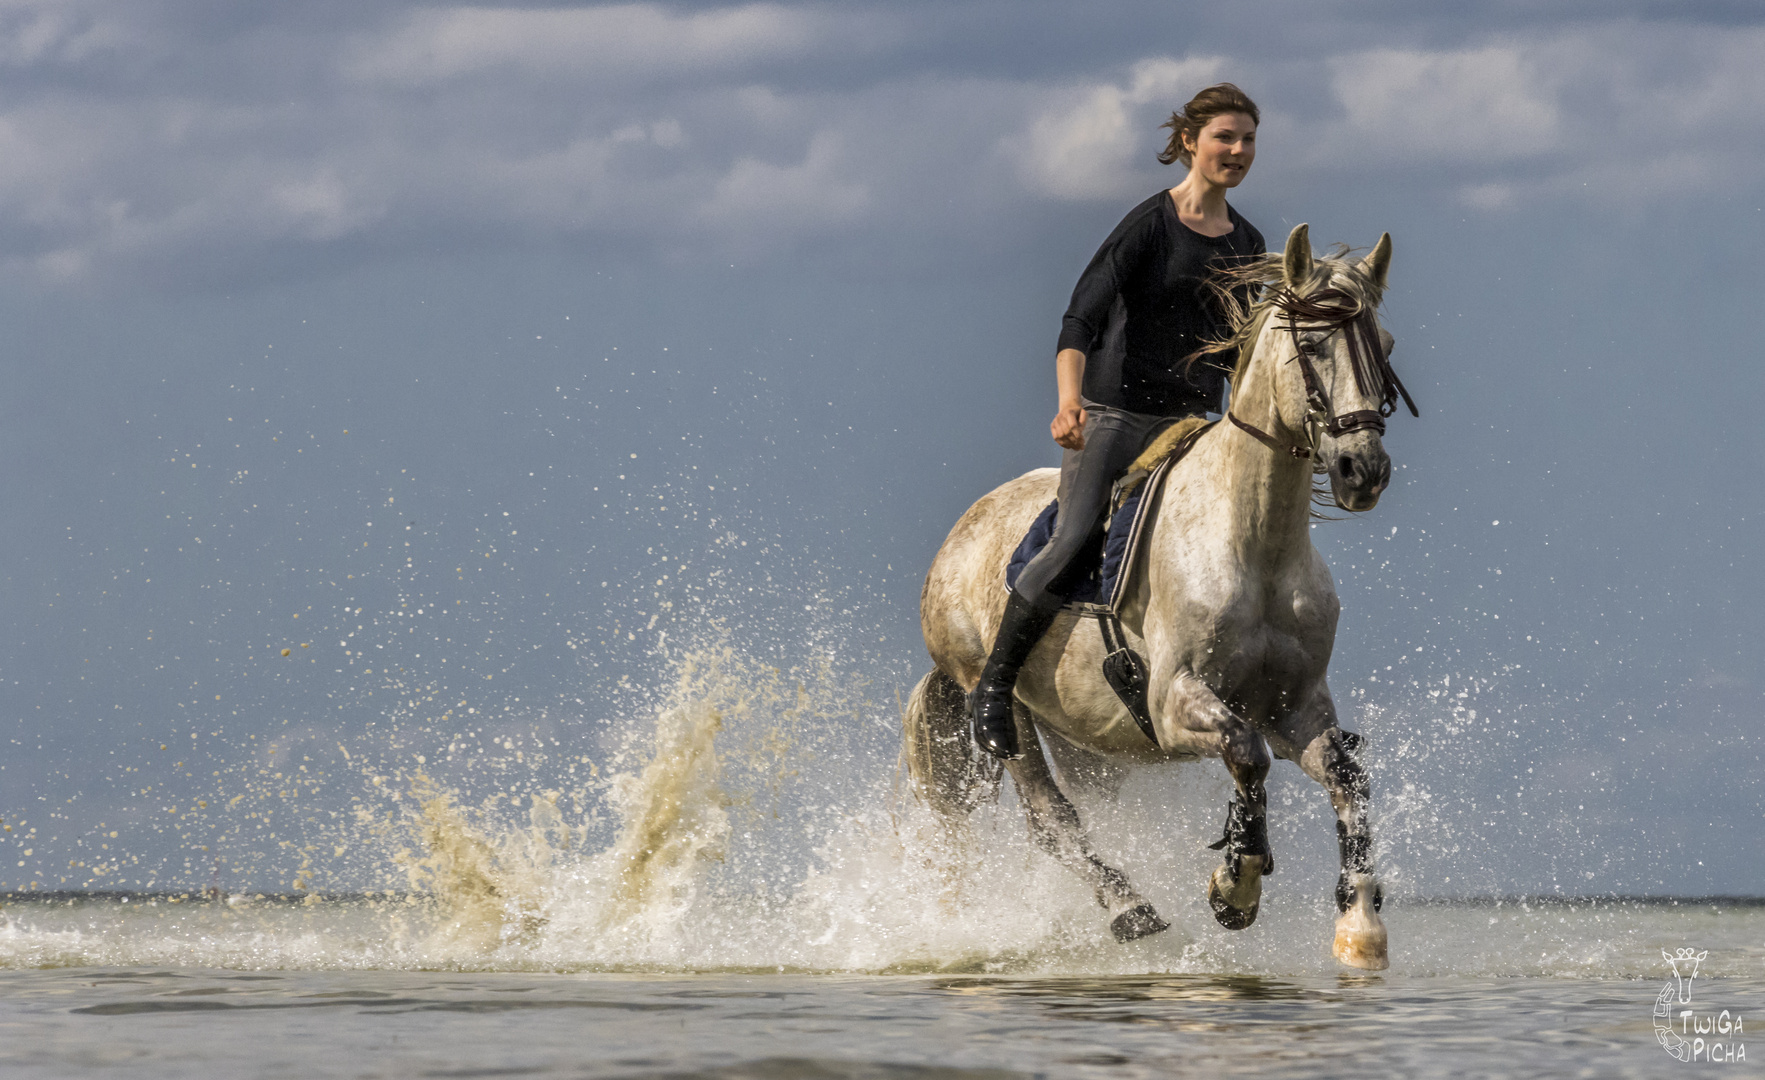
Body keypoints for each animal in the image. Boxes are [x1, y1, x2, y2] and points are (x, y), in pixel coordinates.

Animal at [903, 225, 1412, 967]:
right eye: (1313, 344)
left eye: (1386, 346)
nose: (1361, 471)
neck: (1255, 545)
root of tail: (956, 539)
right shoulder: (1176, 703)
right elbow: (1245, 753)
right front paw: (1234, 889)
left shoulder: (1296, 708)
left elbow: (1346, 780)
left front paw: (1360, 924)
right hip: (995, 699)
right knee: (1048, 813)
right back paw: (1130, 910)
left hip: (1083, 741)